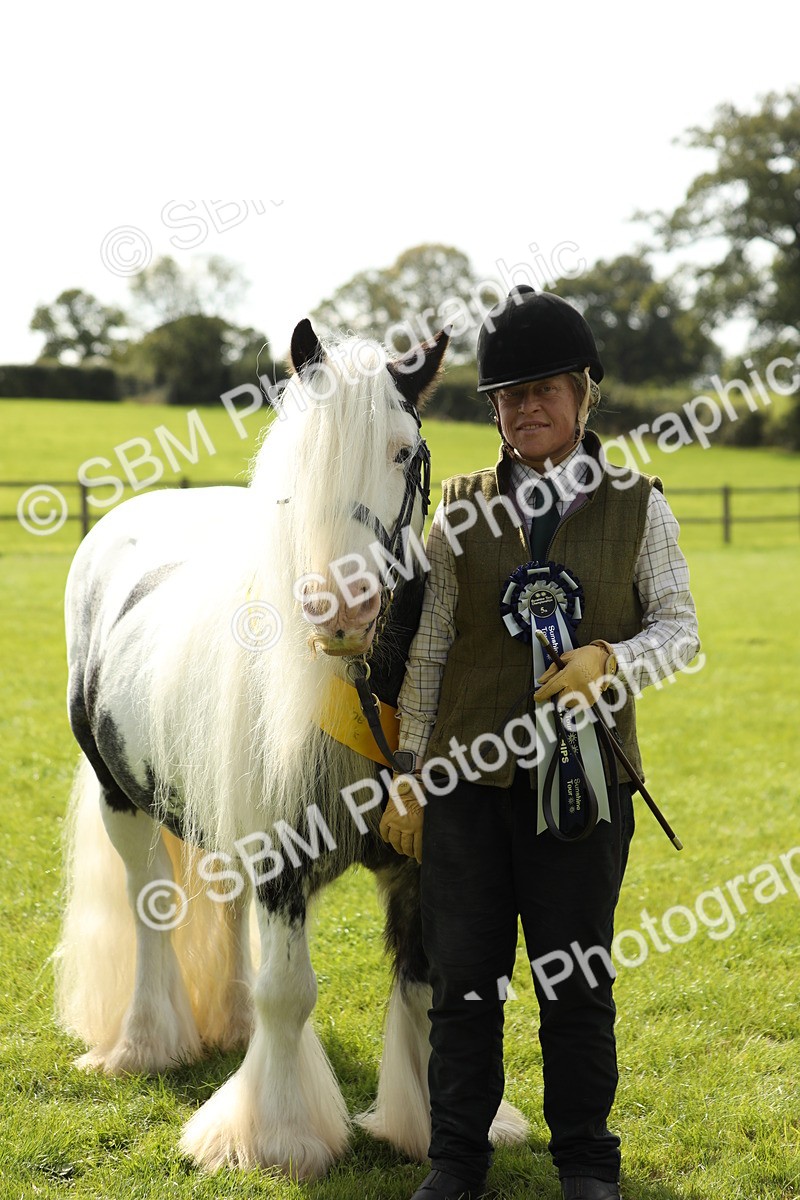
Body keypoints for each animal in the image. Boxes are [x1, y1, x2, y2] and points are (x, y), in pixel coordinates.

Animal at [55, 318, 528, 1179]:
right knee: (151, 914)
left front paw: (424, 1124)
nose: (341, 608)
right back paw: (145, 1044)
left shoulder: (422, 857)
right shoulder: (281, 854)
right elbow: (290, 991)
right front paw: (274, 1137)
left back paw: (230, 1026)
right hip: (120, 801)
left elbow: (421, 984)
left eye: (404, 451)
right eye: (299, 460)